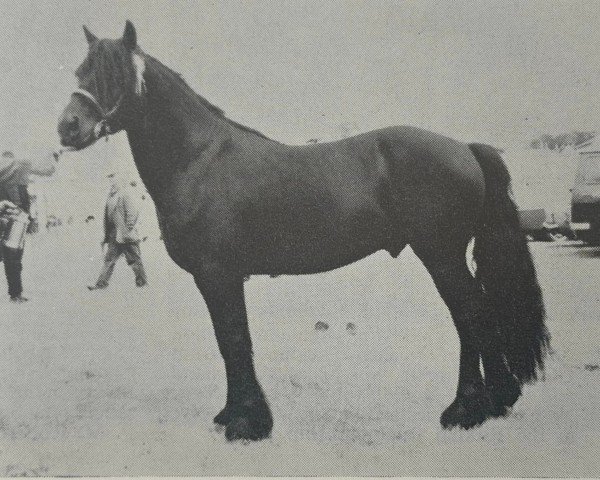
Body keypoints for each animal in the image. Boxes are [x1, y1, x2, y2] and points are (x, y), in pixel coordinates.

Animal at [58, 23, 552, 442]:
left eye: (114, 74)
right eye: (81, 71)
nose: (68, 127)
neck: (199, 159)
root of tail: (465, 148)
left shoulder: (219, 274)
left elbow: (234, 340)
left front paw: (246, 423)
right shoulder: (216, 278)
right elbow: (228, 341)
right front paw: (232, 415)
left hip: (441, 254)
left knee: (471, 316)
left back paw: (465, 411)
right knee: (477, 315)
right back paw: (496, 401)